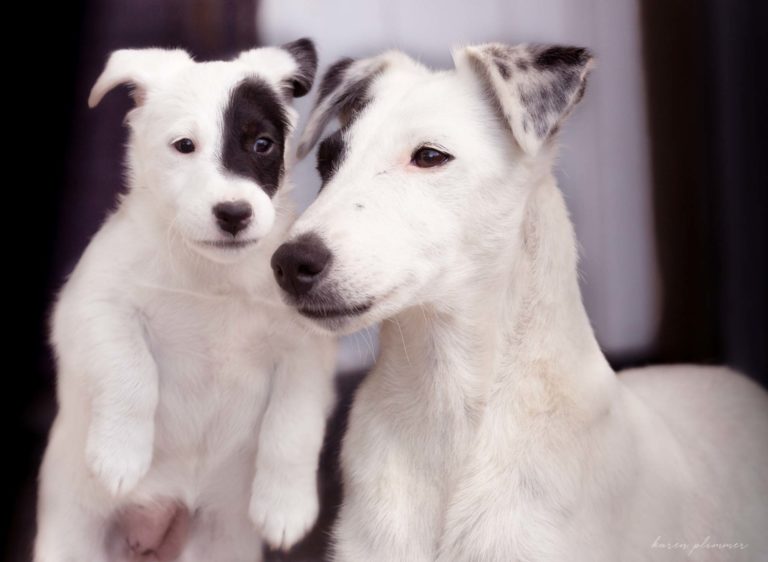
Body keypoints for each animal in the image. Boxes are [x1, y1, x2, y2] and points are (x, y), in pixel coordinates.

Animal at [35, 40, 336, 560]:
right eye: (184, 146)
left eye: (262, 144)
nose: (234, 213)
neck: (211, 276)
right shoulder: (94, 307)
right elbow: (131, 370)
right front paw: (120, 454)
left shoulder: (307, 348)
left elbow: (293, 426)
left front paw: (285, 506)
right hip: (70, 539)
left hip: (221, 544)